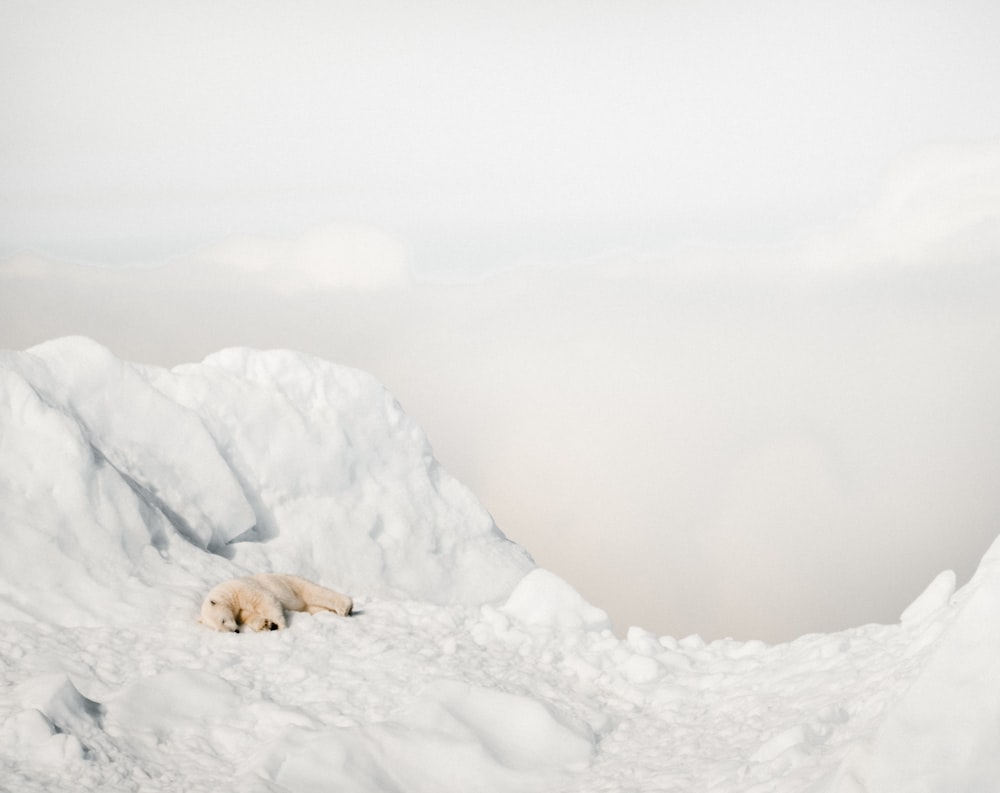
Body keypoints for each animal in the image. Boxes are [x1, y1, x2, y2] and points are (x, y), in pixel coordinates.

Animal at [198, 576, 352, 632]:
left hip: (293, 584)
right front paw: (267, 624)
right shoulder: (239, 610)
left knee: (314, 592)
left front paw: (280, 626)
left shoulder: (243, 588)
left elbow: (265, 599)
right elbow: (250, 616)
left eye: (223, 620)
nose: (235, 631)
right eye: (219, 629)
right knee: (312, 607)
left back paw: (345, 607)